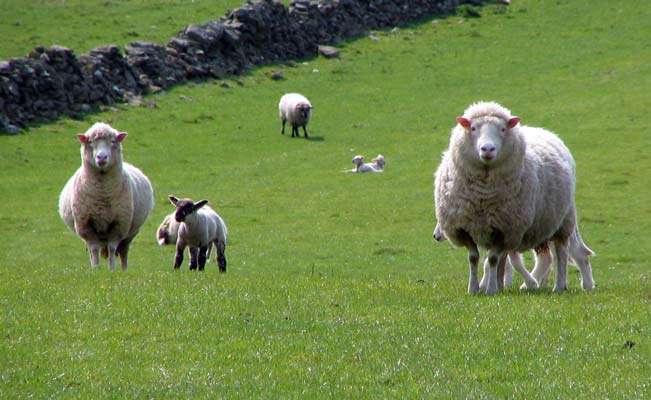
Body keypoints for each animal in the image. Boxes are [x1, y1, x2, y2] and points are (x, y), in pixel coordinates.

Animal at [58, 122, 154, 270]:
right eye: (90, 142)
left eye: (113, 141)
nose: (102, 157)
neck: (102, 193)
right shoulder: (86, 225)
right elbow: (93, 249)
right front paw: (95, 269)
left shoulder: (119, 224)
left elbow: (112, 249)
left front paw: (112, 269)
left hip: (130, 232)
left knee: (124, 250)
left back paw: (124, 269)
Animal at [434, 101, 594, 294]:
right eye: (473, 128)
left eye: (503, 129)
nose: (487, 149)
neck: (483, 195)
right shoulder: (465, 228)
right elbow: (475, 258)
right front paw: (475, 288)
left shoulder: (506, 229)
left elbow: (493, 260)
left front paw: (491, 289)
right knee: (547, 257)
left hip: (562, 221)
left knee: (562, 252)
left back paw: (559, 285)